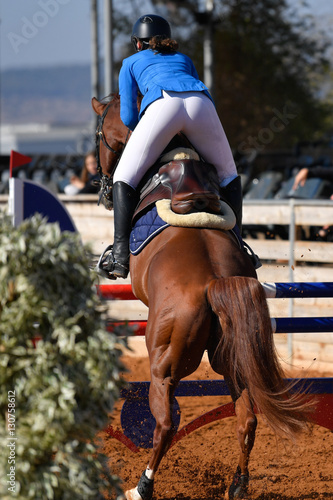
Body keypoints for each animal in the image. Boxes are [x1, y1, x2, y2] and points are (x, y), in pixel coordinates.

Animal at [90, 94, 308, 500]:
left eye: (98, 136)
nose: (103, 191)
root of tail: (214, 282)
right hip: (231, 360)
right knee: (247, 420)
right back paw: (237, 485)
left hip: (163, 366)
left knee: (165, 425)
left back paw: (141, 486)